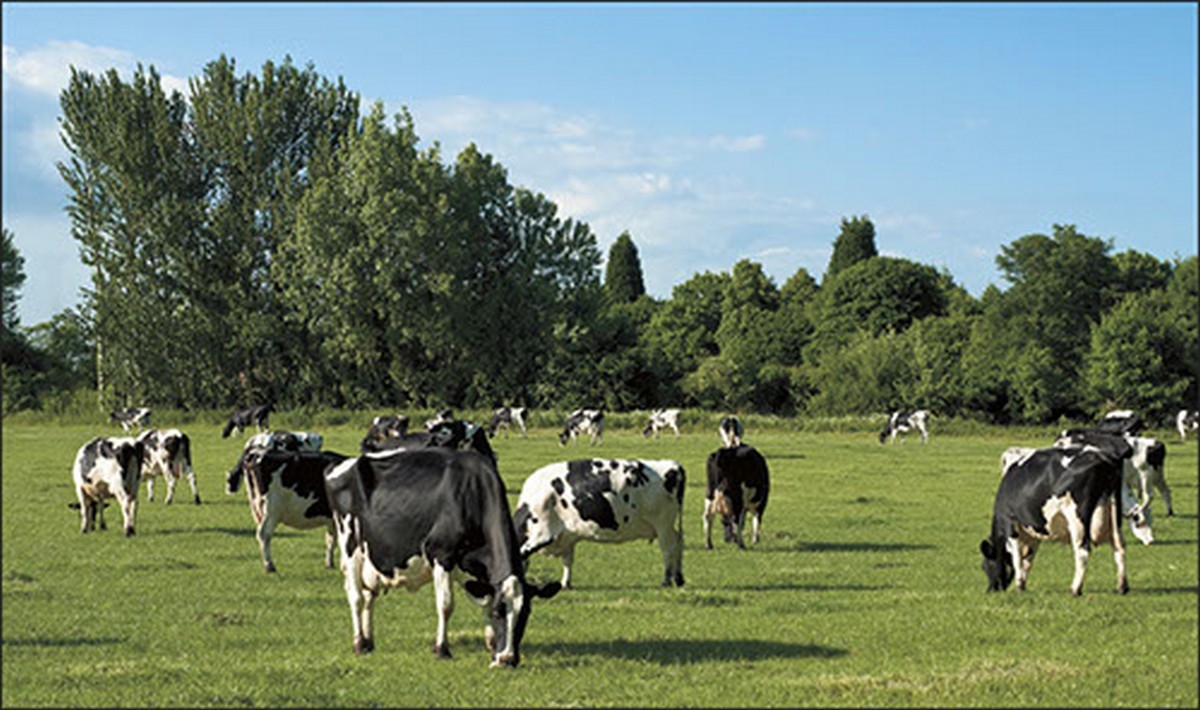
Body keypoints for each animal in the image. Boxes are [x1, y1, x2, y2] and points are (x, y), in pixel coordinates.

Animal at [324, 447, 561, 666]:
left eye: (526, 614)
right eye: (498, 613)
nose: (507, 658)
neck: (472, 494)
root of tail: (345, 462)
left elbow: (484, 599)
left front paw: (492, 645)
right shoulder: (441, 555)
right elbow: (446, 605)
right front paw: (442, 649)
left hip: (372, 556)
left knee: (368, 596)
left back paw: (369, 641)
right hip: (350, 543)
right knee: (355, 595)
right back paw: (359, 643)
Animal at [513, 458, 686, 589]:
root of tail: (674, 464)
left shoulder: (543, 533)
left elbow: (522, 553)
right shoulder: (568, 535)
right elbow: (568, 560)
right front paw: (565, 583)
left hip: (663, 525)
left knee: (668, 549)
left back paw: (666, 580)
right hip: (668, 526)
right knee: (678, 541)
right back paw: (678, 579)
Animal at [980, 433, 1136, 596]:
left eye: (985, 566)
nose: (991, 589)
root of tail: (1104, 457)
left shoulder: (1010, 523)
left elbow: (1017, 559)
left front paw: (1018, 586)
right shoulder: (1033, 532)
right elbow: (1028, 560)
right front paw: (1022, 585)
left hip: (1076, 517)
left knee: (1083, 551)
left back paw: (1075, 589)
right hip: (1115, 516)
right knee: (1120, 547)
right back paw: (1122, 587)